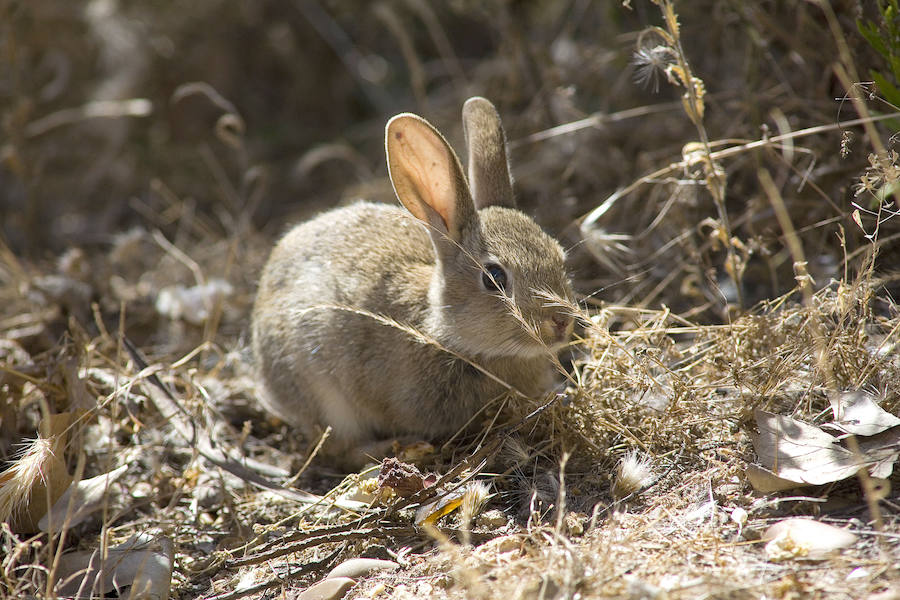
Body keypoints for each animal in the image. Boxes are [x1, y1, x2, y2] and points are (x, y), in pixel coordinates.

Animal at [250, 96, 572, 468]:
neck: (446, 333)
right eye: (494, 277)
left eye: (560, 256)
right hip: (321, 391)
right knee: (339, 449)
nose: (561, 321)